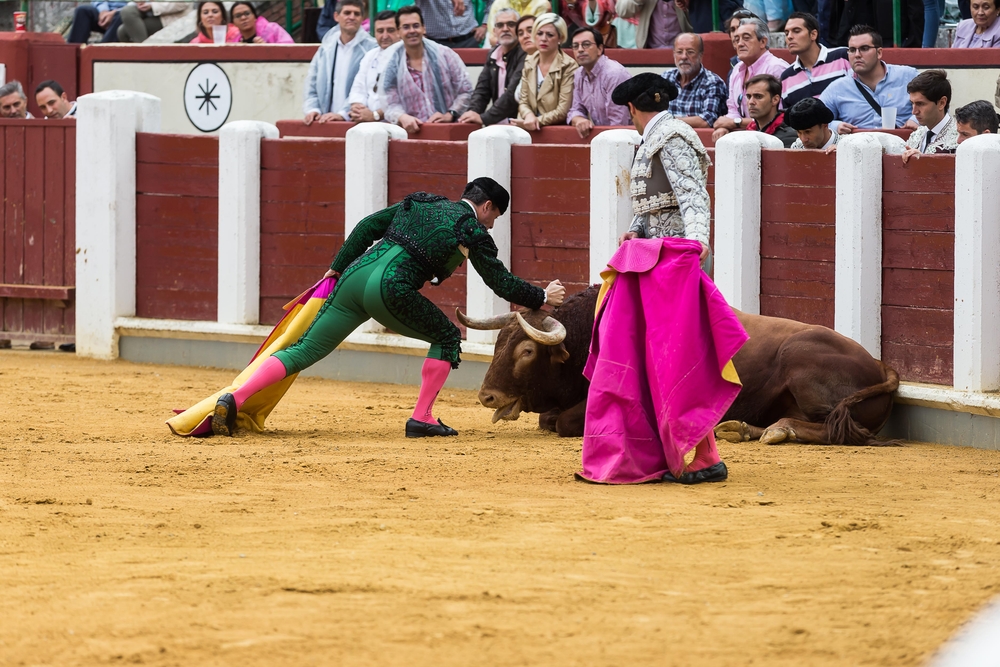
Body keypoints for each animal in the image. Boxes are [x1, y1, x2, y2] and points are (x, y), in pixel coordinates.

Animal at [458, 286, 904, 446]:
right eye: (499, 343)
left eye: (527, 352)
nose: (487, 396)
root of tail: (878, 363)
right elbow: (548, 419)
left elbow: (563, 422)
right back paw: (740, 428)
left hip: (800, 363)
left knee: (840, 429)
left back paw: (777, 431)